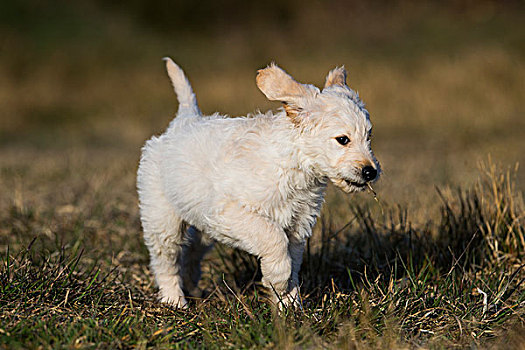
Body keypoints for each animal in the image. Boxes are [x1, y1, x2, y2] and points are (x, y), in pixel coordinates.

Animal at [137, 58, 378, 308]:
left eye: (368, 137)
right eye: (342, 140)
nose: (370, 172)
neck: (292, 163)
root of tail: (183, 119)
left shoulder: (298, 226)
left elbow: (293, 264)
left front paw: (290, 306)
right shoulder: (231, 212)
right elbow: (273, 237)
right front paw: (278, 279)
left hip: (199, 227)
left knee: (191, 255)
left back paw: (192, 288)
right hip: (163, 221)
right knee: (166, 262)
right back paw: (174, 300)